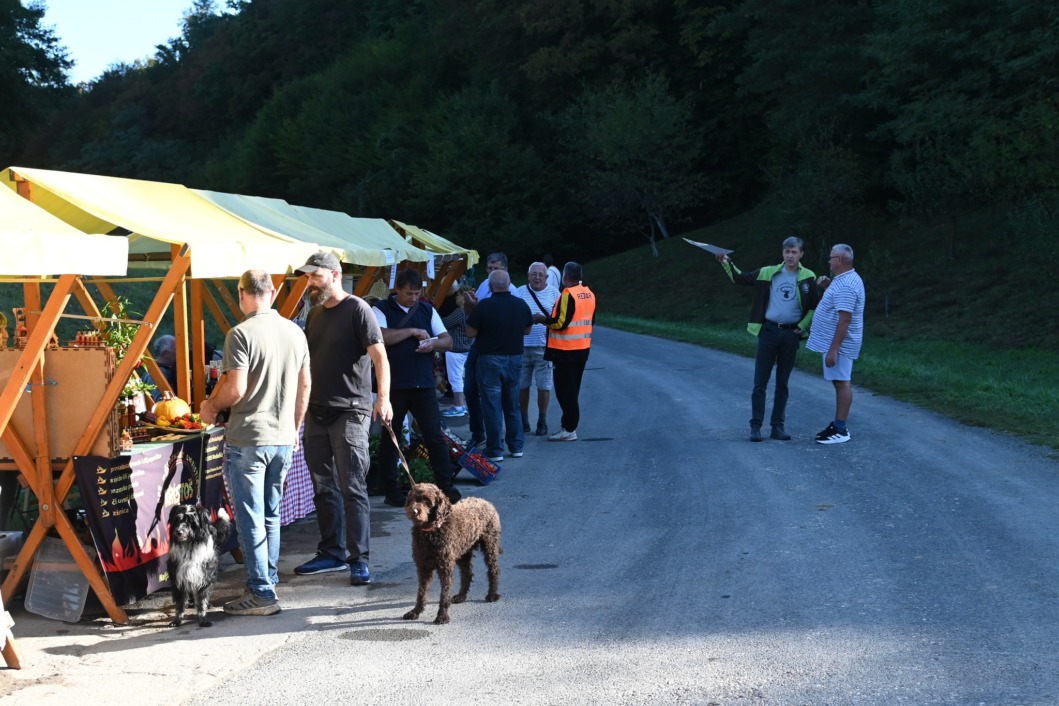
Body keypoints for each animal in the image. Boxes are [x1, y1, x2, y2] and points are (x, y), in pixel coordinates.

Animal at [403, 483, 502, 624]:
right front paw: (415, 611)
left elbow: (444, 593)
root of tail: (486, 502)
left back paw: (492, 594)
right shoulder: (423, 566)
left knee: (493, 569)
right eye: (414, 498)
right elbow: (421, 592)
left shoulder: (445, 567)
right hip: (464, 551)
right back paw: (461, 596)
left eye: (428, 501)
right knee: (467, 573)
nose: (414, 511)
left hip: (490, 545)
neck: (432, 532)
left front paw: (442, 615)